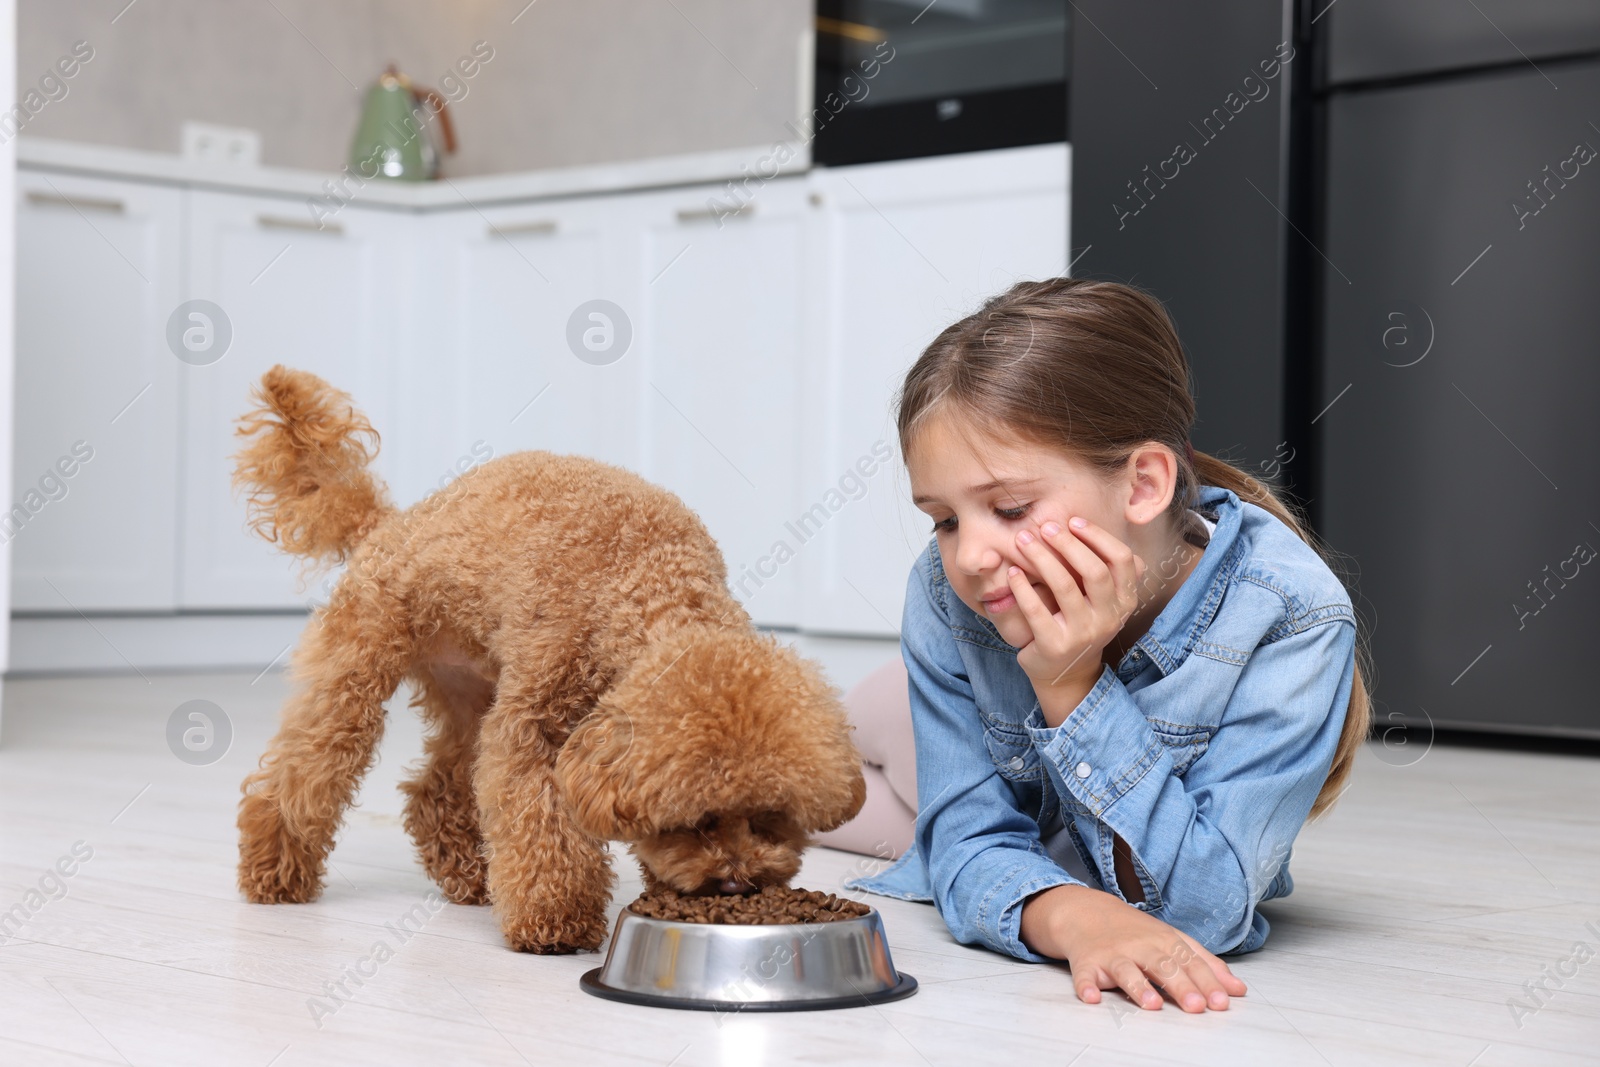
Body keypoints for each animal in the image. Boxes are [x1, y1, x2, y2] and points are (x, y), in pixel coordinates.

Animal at [232, 364, 870, 953]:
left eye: (771, 819)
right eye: (693, 823)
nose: (736, 884)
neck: (644, 582)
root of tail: (384, 526)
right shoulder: (533, 724)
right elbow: (542, 826)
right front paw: (556, 922)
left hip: (471, 694)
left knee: (436, 791)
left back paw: (469, 875)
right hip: (357, 674)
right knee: (303, 772)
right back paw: (274, 874)